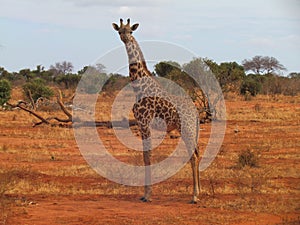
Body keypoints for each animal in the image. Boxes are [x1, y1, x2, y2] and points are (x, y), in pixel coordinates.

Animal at [111, 18, 200, 203]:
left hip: (187, 129)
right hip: (192, 131)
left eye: (131, 31)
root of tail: (195, 113)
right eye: (120, 31)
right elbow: (146, 156)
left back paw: (195, 196)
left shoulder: (144, 123)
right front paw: (145, 193)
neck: (139, 86)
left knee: (193, 156)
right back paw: (199, 192)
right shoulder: (141, 124)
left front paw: (147, 195)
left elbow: (147, 157)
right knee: (197, 153)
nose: (125, 38)